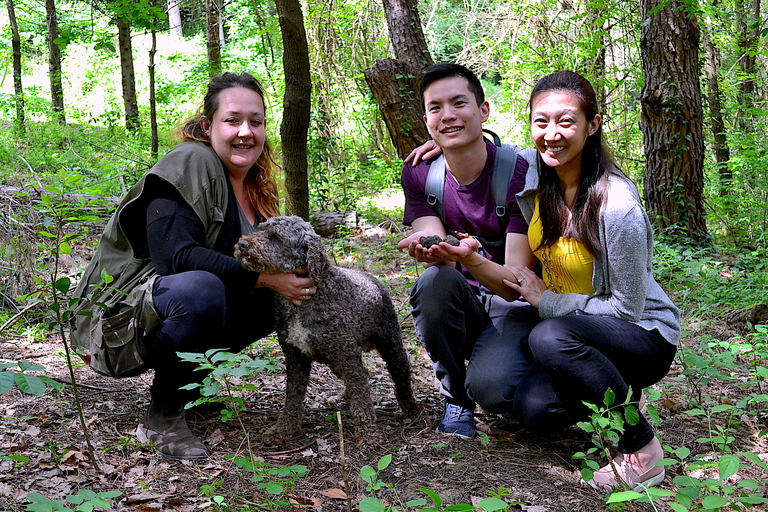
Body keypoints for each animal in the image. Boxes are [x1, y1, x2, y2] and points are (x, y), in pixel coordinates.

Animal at [232, 214, 416, 442]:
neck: (302, 304)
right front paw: (283, 429)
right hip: (337, 360)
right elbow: (293, 397)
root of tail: (374, 279)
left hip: (389, 344)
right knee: (362, 374)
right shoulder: (295, 356)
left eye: (276, 237)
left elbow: (362, 397)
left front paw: (368, 436)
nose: (242, 244)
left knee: (400, 375)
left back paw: (410, 408)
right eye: (261, 228)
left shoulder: (346, 355)